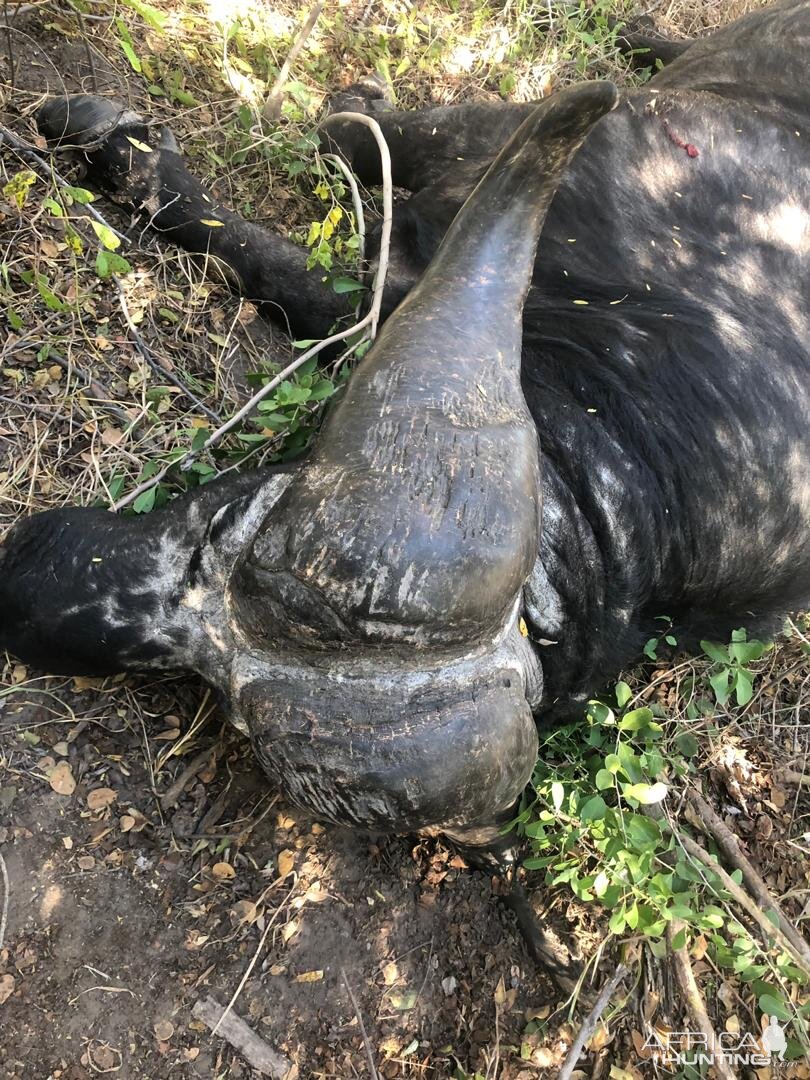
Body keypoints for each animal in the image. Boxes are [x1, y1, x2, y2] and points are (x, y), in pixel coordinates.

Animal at [1, 0, 810, 859]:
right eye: (226, 519)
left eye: (225, 705)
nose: (22, 583)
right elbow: (323, 207)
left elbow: (335, 205)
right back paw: (642, 33)